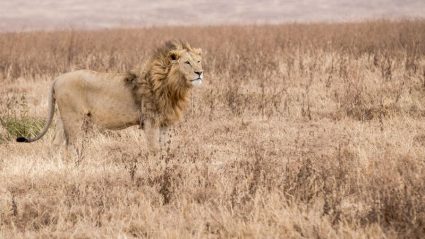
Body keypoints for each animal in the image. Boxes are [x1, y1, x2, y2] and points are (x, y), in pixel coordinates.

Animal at [15, 40, 203, 154]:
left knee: (55, 143)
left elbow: (165, 149)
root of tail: (57, 78)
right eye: (187, 62)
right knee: (72, 145)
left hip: (64, 117)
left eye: (199, 61)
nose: (200, 73)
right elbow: (154, 149)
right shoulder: (150, 121)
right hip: (74, 117)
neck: (173, 87)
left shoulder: (165, 123)